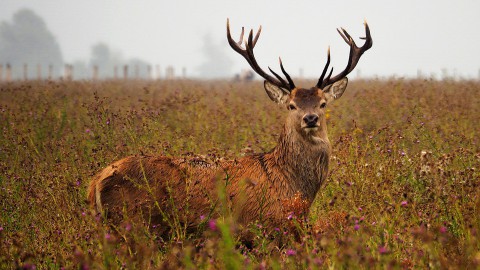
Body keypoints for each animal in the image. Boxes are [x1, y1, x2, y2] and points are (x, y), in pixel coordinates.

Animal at [89, 19, 372, 240]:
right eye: (291, 105)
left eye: (323, 103)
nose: (310, 118)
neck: (293, 186)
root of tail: (96, 182)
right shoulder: (264, 228)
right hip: (135, 223)